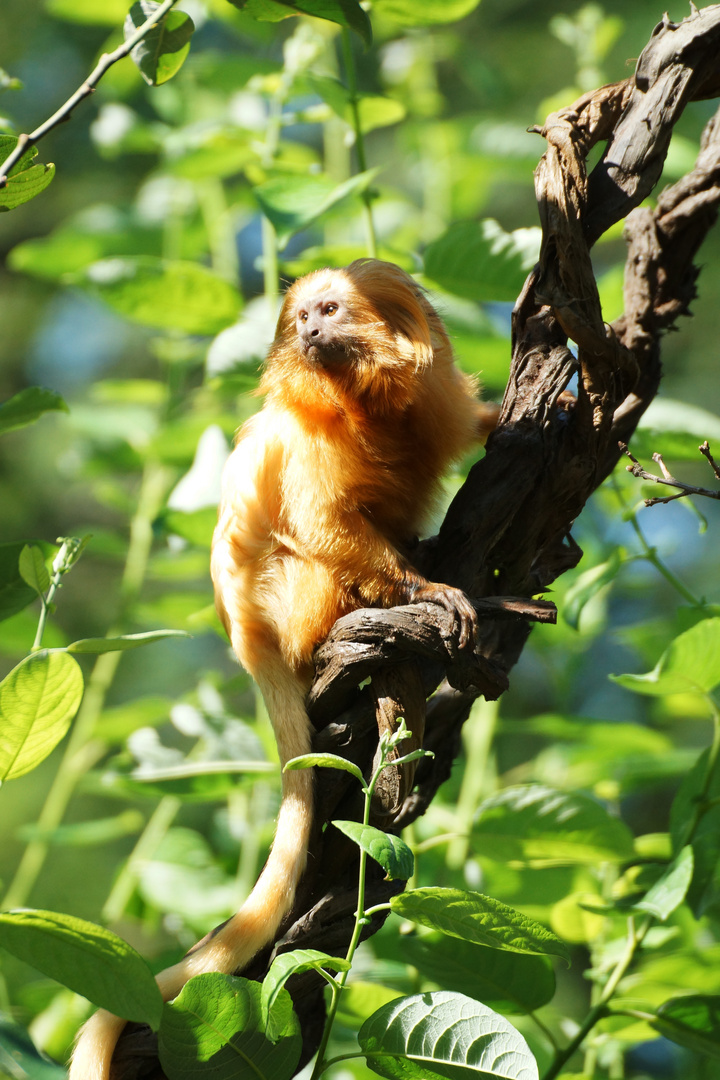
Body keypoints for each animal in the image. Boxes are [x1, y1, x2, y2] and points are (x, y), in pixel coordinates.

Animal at [70, 257, 498, 1075]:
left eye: (328, 310)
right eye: (303, 317)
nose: (307, 331)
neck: (363, 404)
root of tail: (249, 643)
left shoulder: (436, 398)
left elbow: (469, 423)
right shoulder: (310, 444)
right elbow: (325, 525)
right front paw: (424, 588)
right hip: (288, 606)